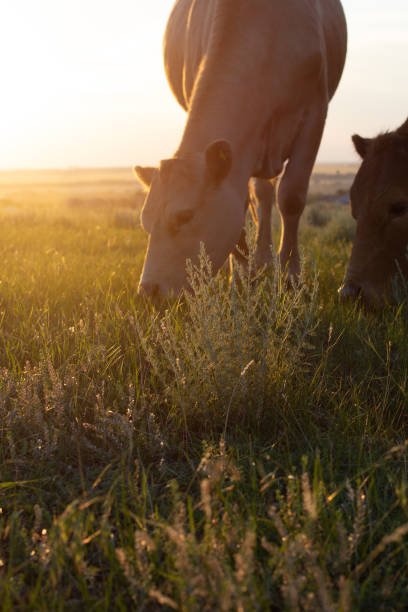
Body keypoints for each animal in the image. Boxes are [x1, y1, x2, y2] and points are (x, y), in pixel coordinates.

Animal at [135, 0, 346, 298]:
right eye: (145, 222)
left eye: (185, 215)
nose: (148, 290)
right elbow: (243, 208)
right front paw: (241, 277)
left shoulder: (315, 114)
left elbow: (291, 197)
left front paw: (291, 275)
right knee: (262, 194)